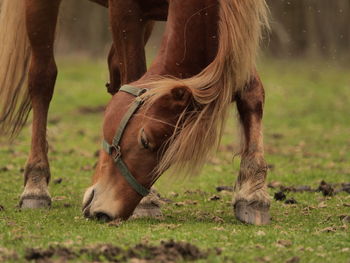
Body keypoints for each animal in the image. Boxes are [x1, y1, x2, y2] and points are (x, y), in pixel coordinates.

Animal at [82, 0, 270, 227]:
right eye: (144, 140)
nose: (106, 213)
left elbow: (251, 91)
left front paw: (253, 194)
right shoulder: (124, 11)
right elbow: (134, 72)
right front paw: (146, 202)